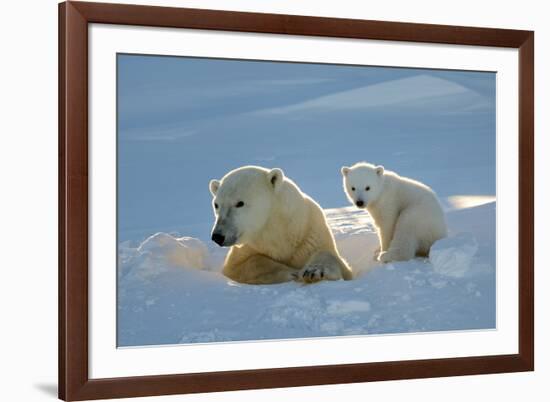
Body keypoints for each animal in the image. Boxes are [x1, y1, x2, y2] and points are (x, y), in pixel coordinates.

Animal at [207, 165, 354, 284]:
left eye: (240, 203)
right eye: (216, 205)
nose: (218, 236)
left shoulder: (309, 233)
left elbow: (332, 257)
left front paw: (314, 271)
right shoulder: (248, 248)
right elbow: (243, 265)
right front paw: (291, 273)